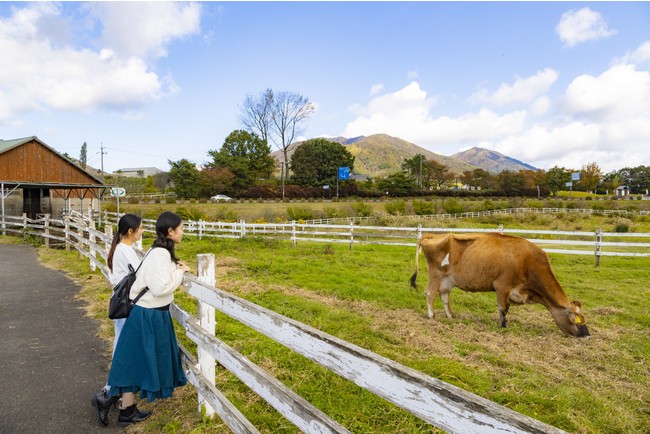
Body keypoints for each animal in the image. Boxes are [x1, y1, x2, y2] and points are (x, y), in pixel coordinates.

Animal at [410, 232, 588, 338]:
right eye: (575, 320)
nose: (587, 334)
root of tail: (433, 234)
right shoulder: (502, 287)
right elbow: (503, 309)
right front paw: (502, 326)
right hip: (436, 273)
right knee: (430, 293)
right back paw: (431, 316)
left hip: (448, 278)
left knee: (444, 295)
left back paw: (450, 316)